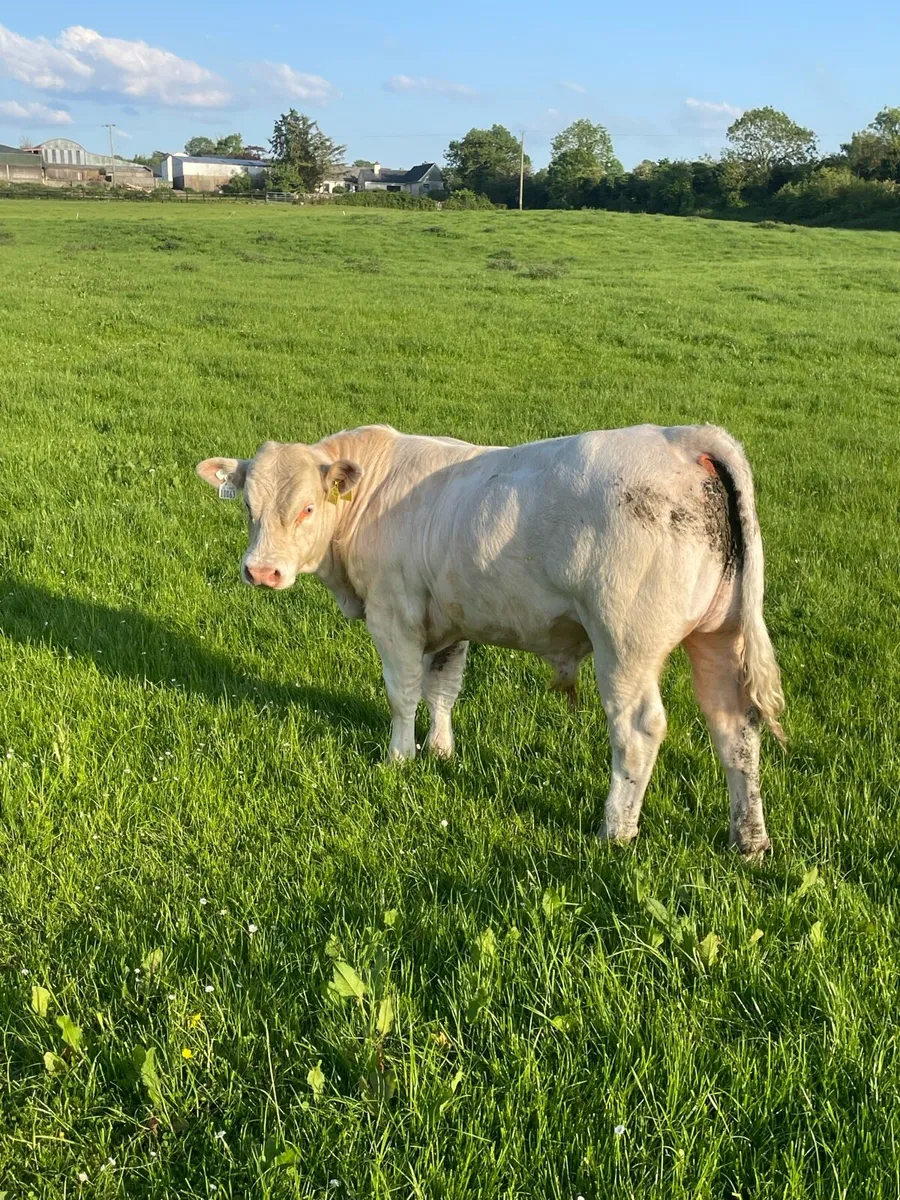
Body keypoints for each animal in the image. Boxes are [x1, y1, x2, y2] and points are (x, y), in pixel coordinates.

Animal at [197, 423, 784, 857]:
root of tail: (683, 438)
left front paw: (398, 758)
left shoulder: (394, 615)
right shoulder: (448, 621)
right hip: (719, 636)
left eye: (307, 508)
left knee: (638, 731)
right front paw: (440, 752)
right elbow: (443, 688)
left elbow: (403, 692)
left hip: (626, 645)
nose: (261, 572)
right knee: (735, 729)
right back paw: (749, 842)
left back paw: (614, 831)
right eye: (248, 507)